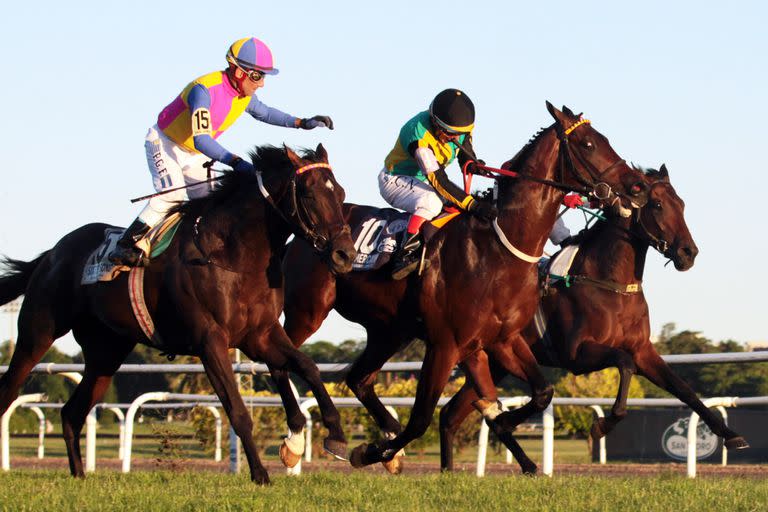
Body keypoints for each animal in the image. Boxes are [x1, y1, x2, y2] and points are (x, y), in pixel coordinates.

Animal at [0, 143, 358, 484]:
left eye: (340, 193)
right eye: (310, 194)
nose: (345, 254)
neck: (231, 254)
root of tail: (51, 253)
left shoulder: (260, 336)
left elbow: (308, 366)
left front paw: (331, 437)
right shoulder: (210, 342)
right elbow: (238, 411)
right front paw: (260, 474)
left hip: (105, 353)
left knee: (71, 414)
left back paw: (79, 474)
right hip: (38, 332)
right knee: (10, 388)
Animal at [280, 101, 652, 472]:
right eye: (588, 144)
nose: (638, 187)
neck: (498, 250)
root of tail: (303, 230)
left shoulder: (502, 340)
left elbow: (542, 392)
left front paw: (506, 428)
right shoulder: (446, 344)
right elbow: (420, 420)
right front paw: (369, 452)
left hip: (389, 330)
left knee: (358, 378)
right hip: (307, 313)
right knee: (282, 360)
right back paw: (299, 443)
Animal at [438, 164, 752, 472]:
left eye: (682, 204)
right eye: (658, 205)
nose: (689, 252)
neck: (610, 284)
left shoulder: (643, 350)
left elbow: (683, 388)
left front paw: (730, 435)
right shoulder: (577, 354)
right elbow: (624, 364)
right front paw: (602, 425)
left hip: (495, 363)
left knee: (451, 413)